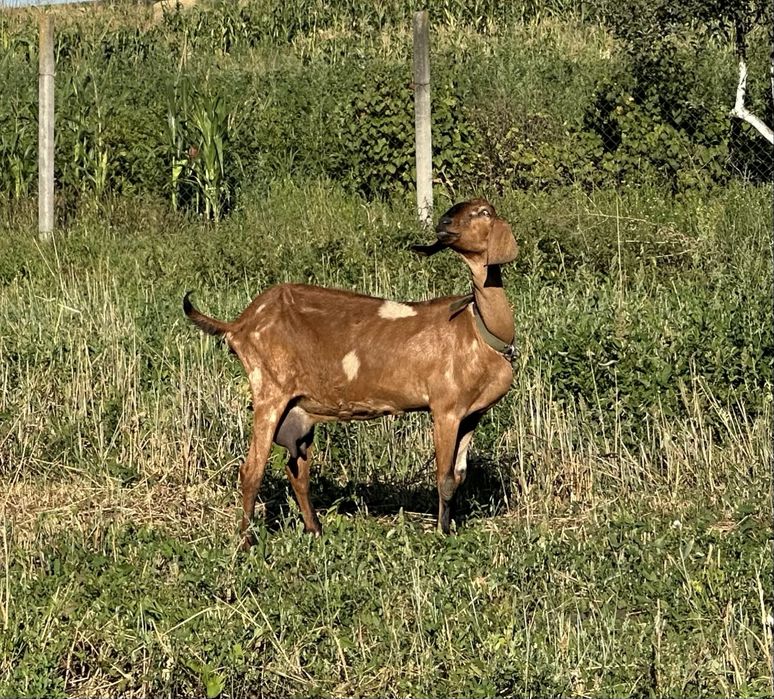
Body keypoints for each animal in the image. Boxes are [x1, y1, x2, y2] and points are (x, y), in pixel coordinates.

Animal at [184, 198, 518, 546]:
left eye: (483, 212)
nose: (443, 223)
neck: (482, 328)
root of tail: (238, 324)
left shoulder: (471, 414)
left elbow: (459, 476)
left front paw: (448, 528)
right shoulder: (445, 408)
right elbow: (444, 477)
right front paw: (442, 532)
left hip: (298, 410)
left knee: (297, 470)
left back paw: (315, 529)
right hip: (269, 389)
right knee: (252, 469)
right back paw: (247, 541)